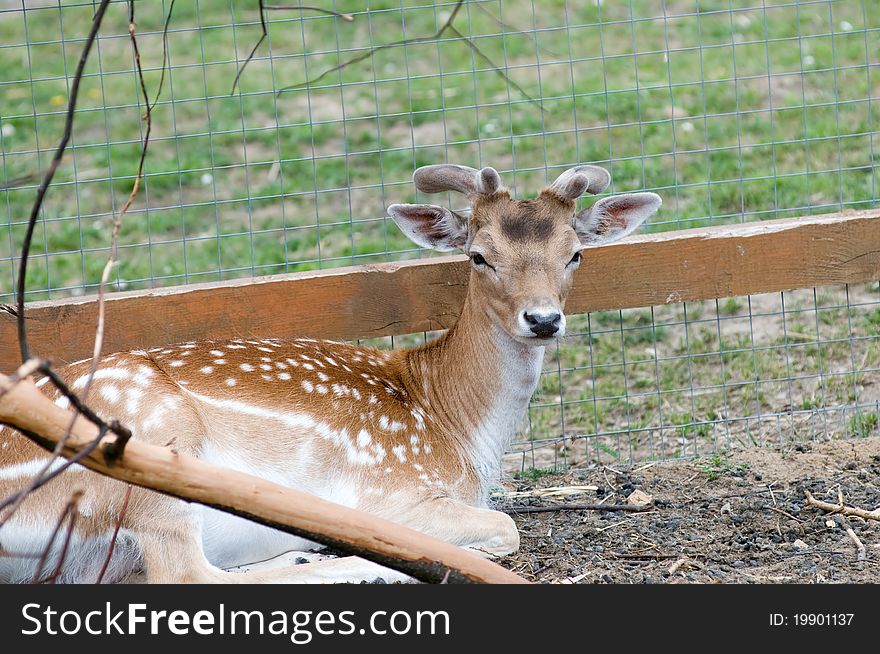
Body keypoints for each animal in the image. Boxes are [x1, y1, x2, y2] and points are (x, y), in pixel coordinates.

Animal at [0, 164, 660, 584]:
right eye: (479, 256)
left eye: (575, 253)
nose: (543, 319)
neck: (462, 431)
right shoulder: (393, 491)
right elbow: (505, 528)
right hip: (143, 447)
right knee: (183, 576)